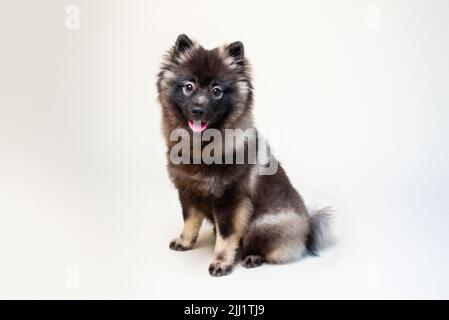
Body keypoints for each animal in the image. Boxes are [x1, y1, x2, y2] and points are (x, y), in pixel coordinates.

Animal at [157, 34, 328, 276]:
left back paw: (252, 258)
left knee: (261, 246)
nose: (198, 110)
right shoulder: (188, 192)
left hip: (263, 224)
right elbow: (190, 222)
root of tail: (308, 230)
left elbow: (227, 236)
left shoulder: (230, 201)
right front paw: (184, 242)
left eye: (216, 91)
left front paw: (221, 262)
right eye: (188, 87)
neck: (201, 146)